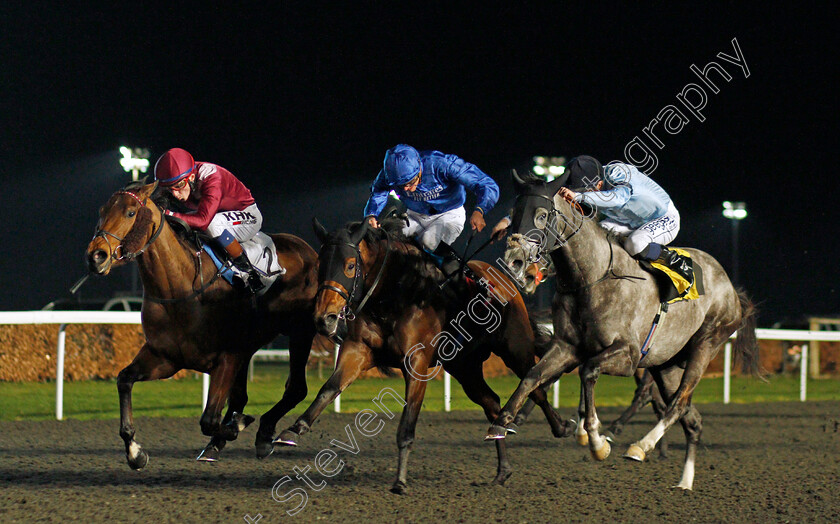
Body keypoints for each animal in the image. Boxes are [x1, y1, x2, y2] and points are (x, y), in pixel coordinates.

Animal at [87, 182, 320, 468]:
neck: (181, 289)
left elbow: (209, 419)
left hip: (300, 332)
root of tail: (306, 248)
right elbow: (124, 379)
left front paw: (236, 426)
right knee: (244, 397)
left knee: (296, 388)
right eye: (101, 211)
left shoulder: (227, 358)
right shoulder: (165, 358)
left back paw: (267, 433)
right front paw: (134, 452)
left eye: (131, 212)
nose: (96, 256)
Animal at [272, 218, 576, 496]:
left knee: (535, 385)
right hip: (464, 367)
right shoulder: (357, 350)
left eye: (349, 265)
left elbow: (407, 425)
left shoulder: (416, 363)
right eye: (321, 265)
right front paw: (292, 430)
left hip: (515, 350)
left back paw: (561, 427)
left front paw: (400, 481)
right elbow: (329, 388)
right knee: (491, 401)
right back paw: (502, 462)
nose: (324, 319)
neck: (396, 294)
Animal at [486, 170, 760, 490]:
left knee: (677, 404)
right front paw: (501, 421)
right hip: (665, 365)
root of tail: (731, 289)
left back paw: (641, 447)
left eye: (541, 215)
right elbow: (533, 375)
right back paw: (684, 482)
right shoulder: (566, 346)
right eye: (514, 213)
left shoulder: (627, 355)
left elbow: (588, 371)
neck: (592, 277)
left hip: (705, 345)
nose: (515, 263)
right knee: (691, 419)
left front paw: (595, 441)